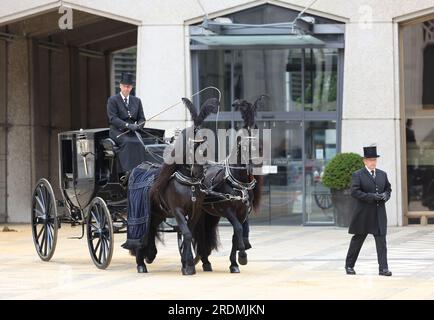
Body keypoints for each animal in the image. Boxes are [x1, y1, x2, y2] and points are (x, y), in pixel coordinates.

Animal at [133, 97, 220, 276]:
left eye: (205, 146)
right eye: (191, 146)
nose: (199, 173)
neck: (189, 183)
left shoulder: (195, 210)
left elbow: (189, 233)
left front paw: (187, 263)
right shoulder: (177, 210)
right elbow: (186, 233)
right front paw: (188, 266)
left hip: (157, 213)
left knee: (150, 230)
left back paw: (148, 256)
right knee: (143, 232)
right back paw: (141, 263)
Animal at [194, 97, 264, 272]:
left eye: (260, 145)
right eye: (245, 146)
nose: (256, 166)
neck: (239, 184)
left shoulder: (243, 212)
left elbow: (235, 235)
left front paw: (234, 263)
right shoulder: (228, 210)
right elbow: (238, 229)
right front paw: (242, 256)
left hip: (210, 214)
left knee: (205, 233)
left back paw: (205, 260)